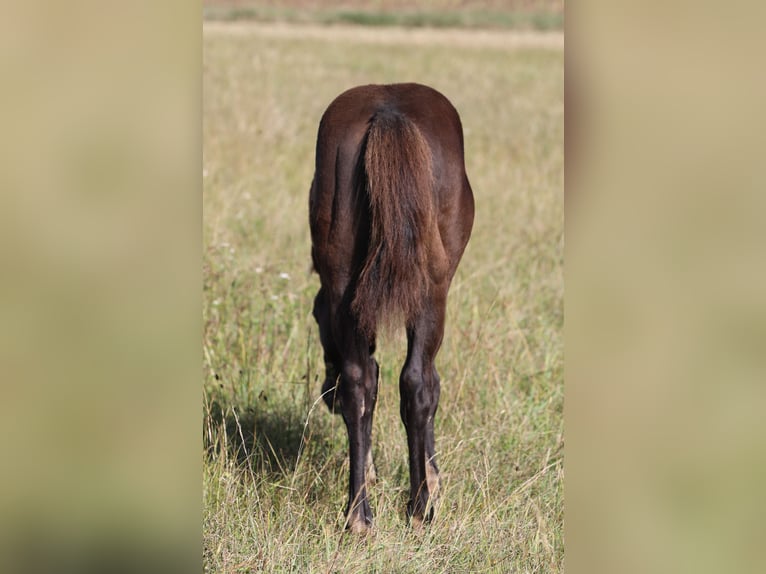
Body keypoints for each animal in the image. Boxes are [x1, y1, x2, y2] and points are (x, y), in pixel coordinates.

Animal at [308, 82, 472, 536]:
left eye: (314, 318)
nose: (325, 395)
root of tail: (388, 113)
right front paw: (433, 483)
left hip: (346, 285)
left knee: (361, 382)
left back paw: (359, 516)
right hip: (431, 291)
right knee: (417, 382)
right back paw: (419, 509)